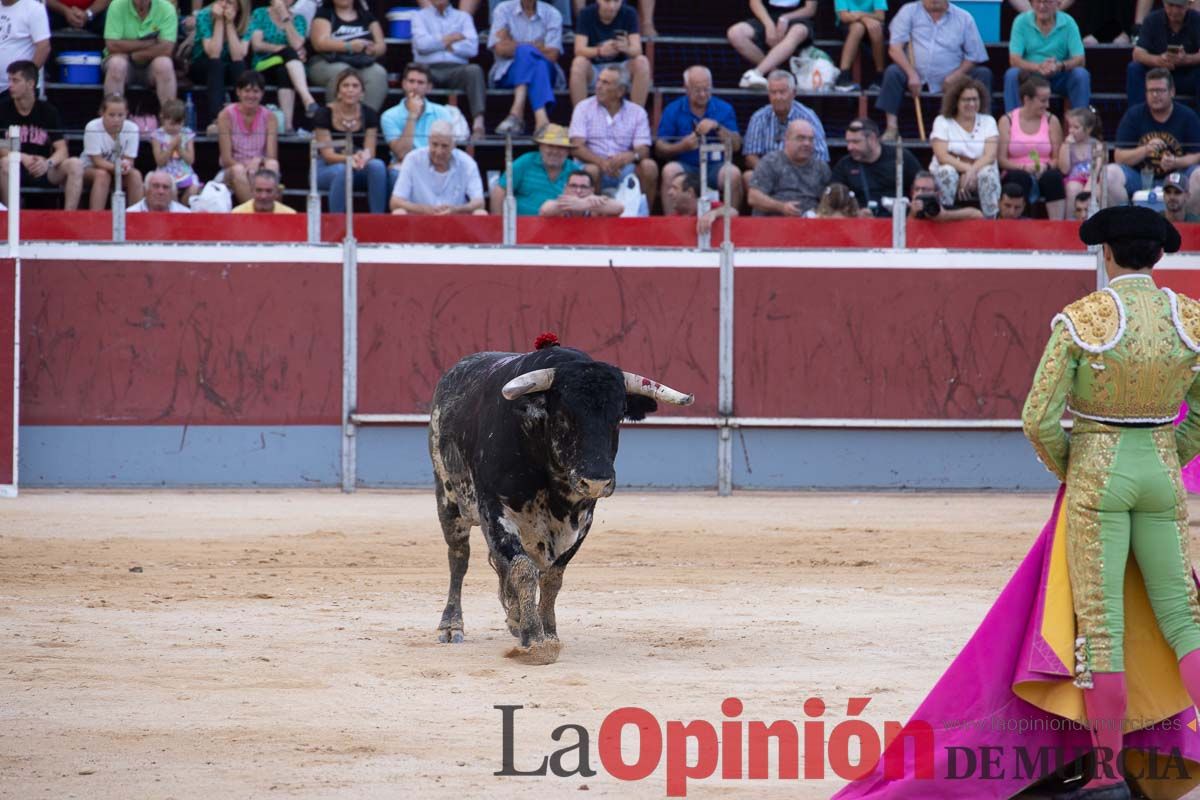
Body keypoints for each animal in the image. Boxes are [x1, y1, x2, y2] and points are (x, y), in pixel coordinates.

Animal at [432, 347, 696, 666]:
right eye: (563, 415)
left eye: (619, 415)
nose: (595, 480)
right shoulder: (495, 513)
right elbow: (523, 570)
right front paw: (535, 640)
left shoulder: (581, 520)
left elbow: (552, 578)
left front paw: (547, 631)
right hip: (448, 499)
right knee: (459, 558)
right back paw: (451, 625)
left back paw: (514, 618)